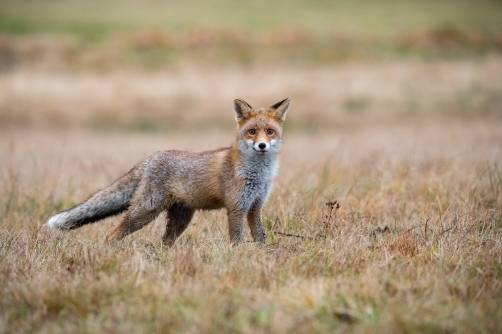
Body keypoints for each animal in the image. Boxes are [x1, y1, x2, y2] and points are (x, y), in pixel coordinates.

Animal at [48, 98, 290, 247]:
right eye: (252, 132)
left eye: (270, 132)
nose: (262, 146)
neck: (257, 175)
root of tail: (151, 157)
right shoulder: (236, 207)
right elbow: (237, 240)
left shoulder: (255, 207)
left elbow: (259, 237)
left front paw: (260, 256)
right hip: (145, 211)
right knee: (111, 234)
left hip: (180, 219)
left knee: (163, 244)